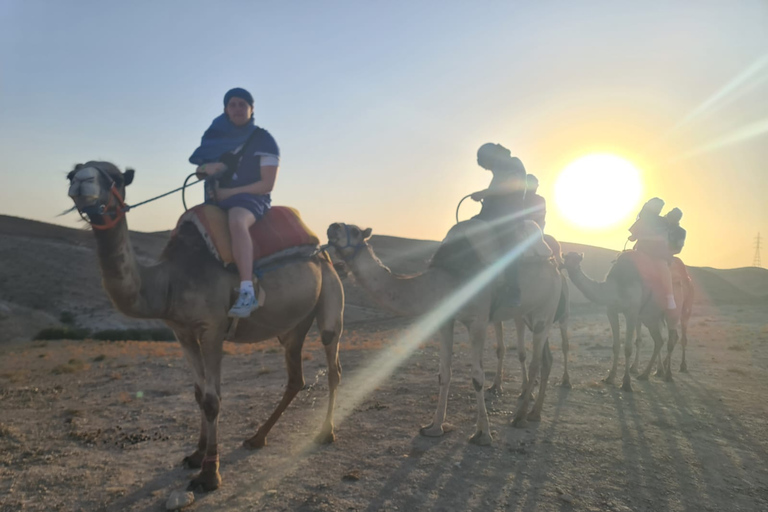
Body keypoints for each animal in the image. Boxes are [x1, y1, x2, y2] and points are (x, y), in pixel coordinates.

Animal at [67, 161, 344, 492]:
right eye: (71, 173)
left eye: (116, 178)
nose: (81, 181)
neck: (170, 280)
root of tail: (322, 251)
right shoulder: (182, 332)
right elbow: (199, 394)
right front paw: (196, 456)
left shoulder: (212, 328)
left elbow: (213, 400)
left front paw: (210, 474)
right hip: (293, 325)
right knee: (295, 378)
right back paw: (256, 438)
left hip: (331, 293)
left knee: (332, 363)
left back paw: (326, 432)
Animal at [328, 218, 560, 442]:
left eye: (355, 231)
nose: (332, 227)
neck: (447, 279)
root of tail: (554, 262)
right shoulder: (445, 320)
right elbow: (444, 374)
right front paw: (435, 427)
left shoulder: (477, 321)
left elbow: (477, 377)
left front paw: (483, 433)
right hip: (531, 314)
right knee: (546, 359)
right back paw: (535, 413)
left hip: (547, 308)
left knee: (535, 362)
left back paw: (520, 417)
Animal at [560, 250, 680, 390]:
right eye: (566, 257)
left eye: (577, 259)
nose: (565, 265)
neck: (616, 287)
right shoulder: (611, 311)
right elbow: (616, 345)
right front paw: (610, 377)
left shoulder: (632, 312)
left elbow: (628, 348)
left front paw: (626, 383)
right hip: (650, 317)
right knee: (659, 341)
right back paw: (646, 374)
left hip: (671, 311)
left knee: (671, 339)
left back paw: (668, 375)